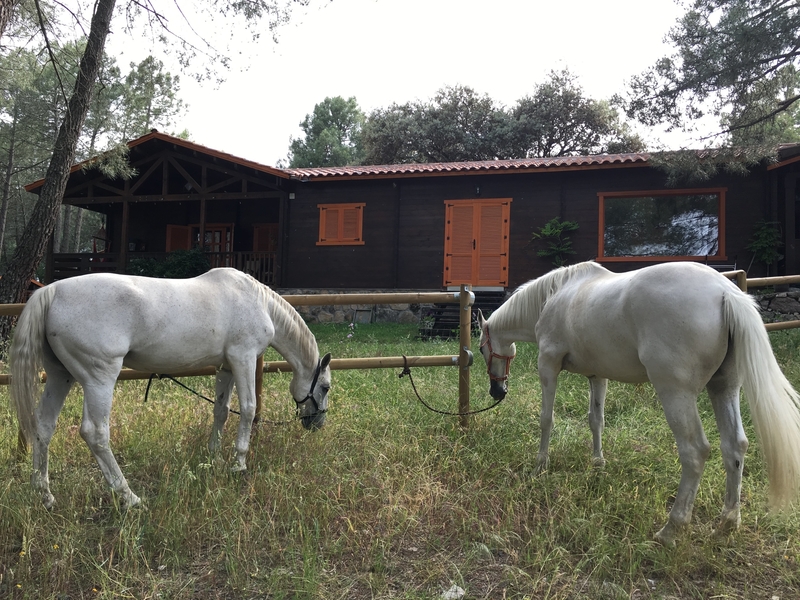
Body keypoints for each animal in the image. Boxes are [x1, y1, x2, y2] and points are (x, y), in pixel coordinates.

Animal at [10, 268, 332, 510]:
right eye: (326, 387)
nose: (316, 424)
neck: (257, 301)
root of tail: (50, 291)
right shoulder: (244, 358)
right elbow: (249, 409)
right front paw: (239, 464)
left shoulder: (226, 367)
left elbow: (221, 411)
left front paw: (214, 457)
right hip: (99, 379)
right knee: (95, 433)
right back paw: (129, 497)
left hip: (60, 376)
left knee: (44, 426)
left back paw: (45, 495)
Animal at [477, 260, 800, 545]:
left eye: (481, 348)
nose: (497, 392)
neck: (555, 296)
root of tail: (725, 292)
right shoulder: (597, 375)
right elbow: (596, 420)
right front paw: (598, 463)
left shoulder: (548, 365)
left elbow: (547, 418)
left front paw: (539, 466)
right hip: (724, 388)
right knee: (734, 446)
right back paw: (727, 524)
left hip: (676, 393)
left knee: (695, 452)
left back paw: (671, 529)